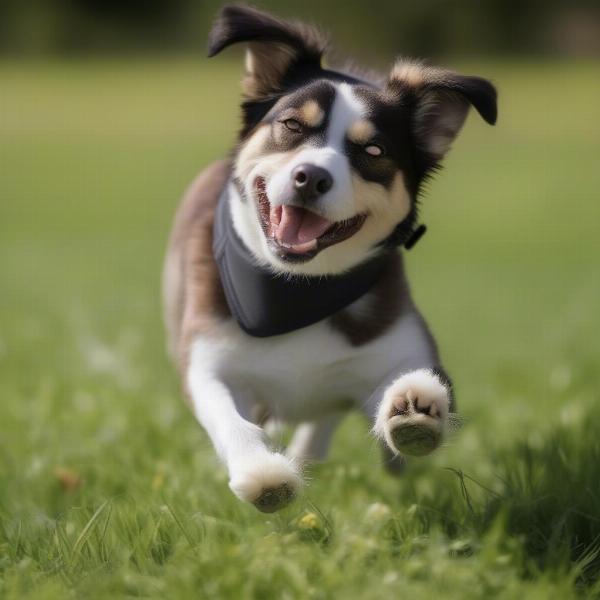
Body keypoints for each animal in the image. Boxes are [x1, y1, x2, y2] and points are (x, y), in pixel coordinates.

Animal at [163, 3, 496, 510]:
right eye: (292, 126)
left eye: (374, 150)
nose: (311, 177)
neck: (297, 287)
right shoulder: (208, 354)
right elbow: (228, 415)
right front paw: (263, 472)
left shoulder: (396, 342)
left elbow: (408, 382)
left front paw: (414, 407)